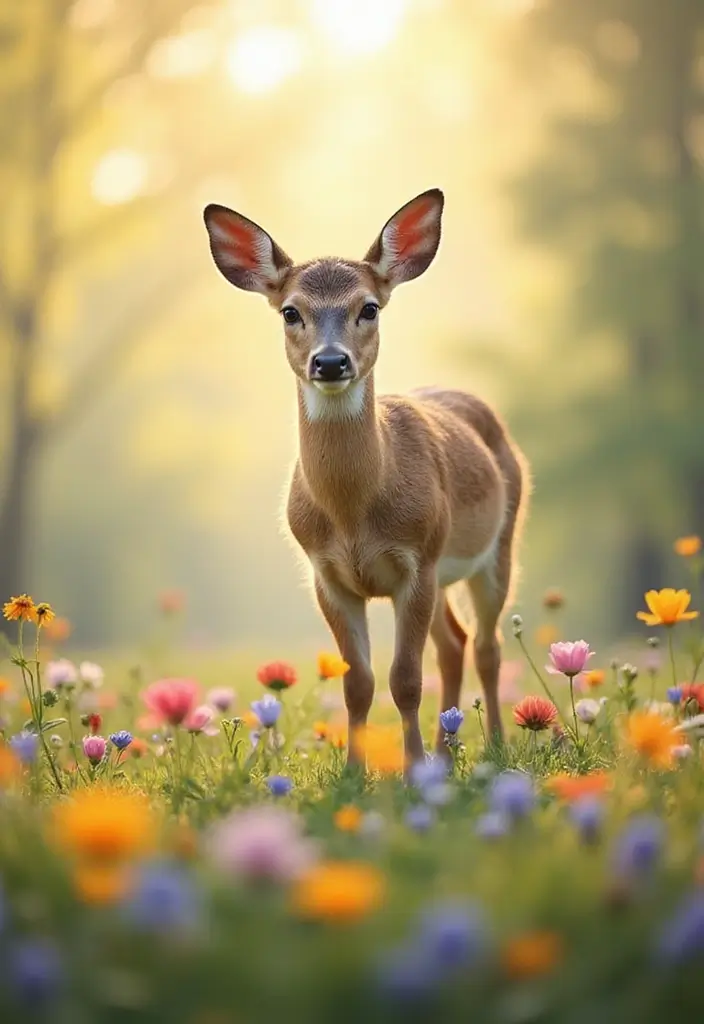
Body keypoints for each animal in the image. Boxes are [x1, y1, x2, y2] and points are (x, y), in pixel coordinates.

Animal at [203, 189, 528, 771]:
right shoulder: (327, 573)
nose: (330, 362)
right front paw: (354, 774)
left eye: (368, 307)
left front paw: (412, 772)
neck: (355, 511)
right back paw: (447, 754)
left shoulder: (416, 560)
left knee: (486, 647)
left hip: (495, 545)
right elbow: (358, 684)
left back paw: (490, 748)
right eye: (291, 311)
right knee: (455, 644)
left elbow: (405, 681)